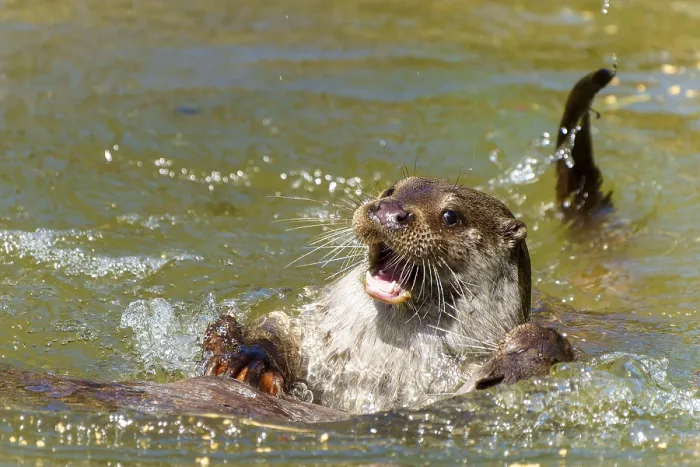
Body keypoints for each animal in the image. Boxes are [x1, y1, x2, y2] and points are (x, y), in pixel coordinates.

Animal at [200, 66, 616, 415]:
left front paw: (522, 357)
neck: (374, 369)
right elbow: (274, 323)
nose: (389, 211)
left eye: (451, 216)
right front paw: (249, 356)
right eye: (391, 189)